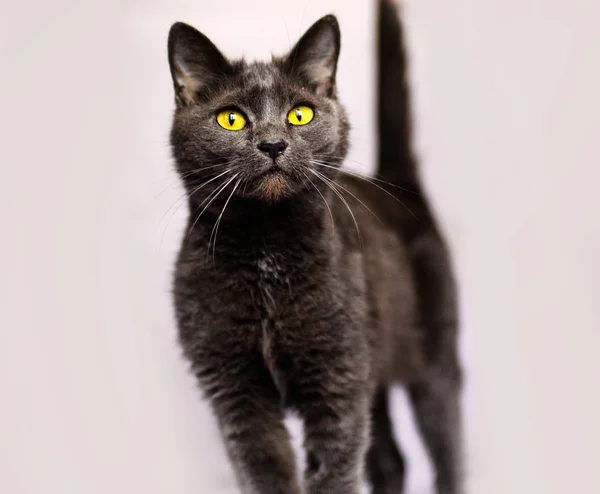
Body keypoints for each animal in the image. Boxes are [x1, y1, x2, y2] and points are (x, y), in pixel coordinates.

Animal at [169, 1, 464, 492]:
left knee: (448, 448)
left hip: (433, 351)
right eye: (232, 118)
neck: (265, 250)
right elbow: (265, 470)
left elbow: (335, 470)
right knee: (391, 459)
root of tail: (399, 190)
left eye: (300, 114)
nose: (272, 143)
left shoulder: (338, 379)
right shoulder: (234, 389)